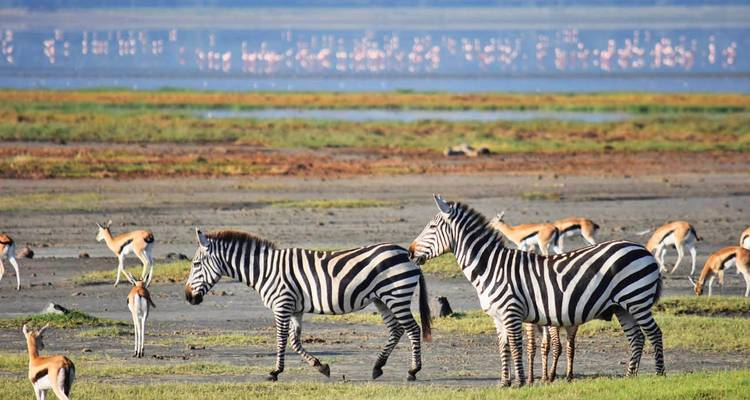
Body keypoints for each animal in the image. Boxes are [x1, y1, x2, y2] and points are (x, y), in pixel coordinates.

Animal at [185, 228, 432, 382]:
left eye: (196, 264)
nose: (188, 297)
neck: (265, 270)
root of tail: (407, 254)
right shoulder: (295, 309)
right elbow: (294, 342)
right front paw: (321, 367)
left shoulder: (282, 304)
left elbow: (281, 340)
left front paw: (275, 372)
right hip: (382, 299)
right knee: (396, 330)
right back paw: (377, 367)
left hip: (396, 295)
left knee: (413, 329)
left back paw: (413, 371)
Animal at [408, 195, 664, 386]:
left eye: (432, 227)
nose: (409, 252)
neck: (491, 267)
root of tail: (643, 250)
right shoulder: (497, 317)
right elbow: (504, 347)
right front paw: (504, 383)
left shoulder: (511, 311)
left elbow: (516, 346)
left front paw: (521, 382)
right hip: (622, 306)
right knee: (637, 337)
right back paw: (630, 377)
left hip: (637, 299)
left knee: (654, 333)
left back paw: (659, 375)